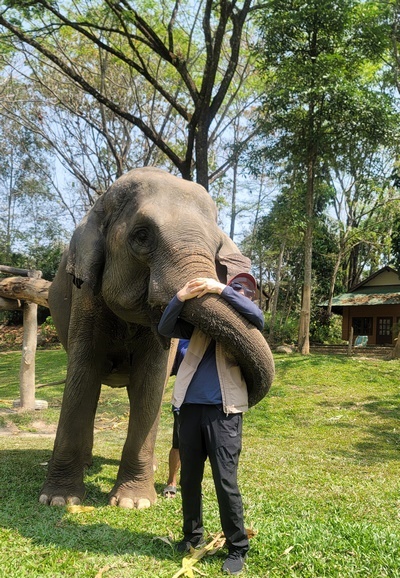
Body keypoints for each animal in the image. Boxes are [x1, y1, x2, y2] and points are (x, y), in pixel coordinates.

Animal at [42, 166, 276, 508]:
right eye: (142, 236)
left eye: (217, 247)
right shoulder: (85, 297)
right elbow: (82, 375)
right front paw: (58, 500)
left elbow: (151, 381)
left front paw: (133, 503)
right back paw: (86, 465)